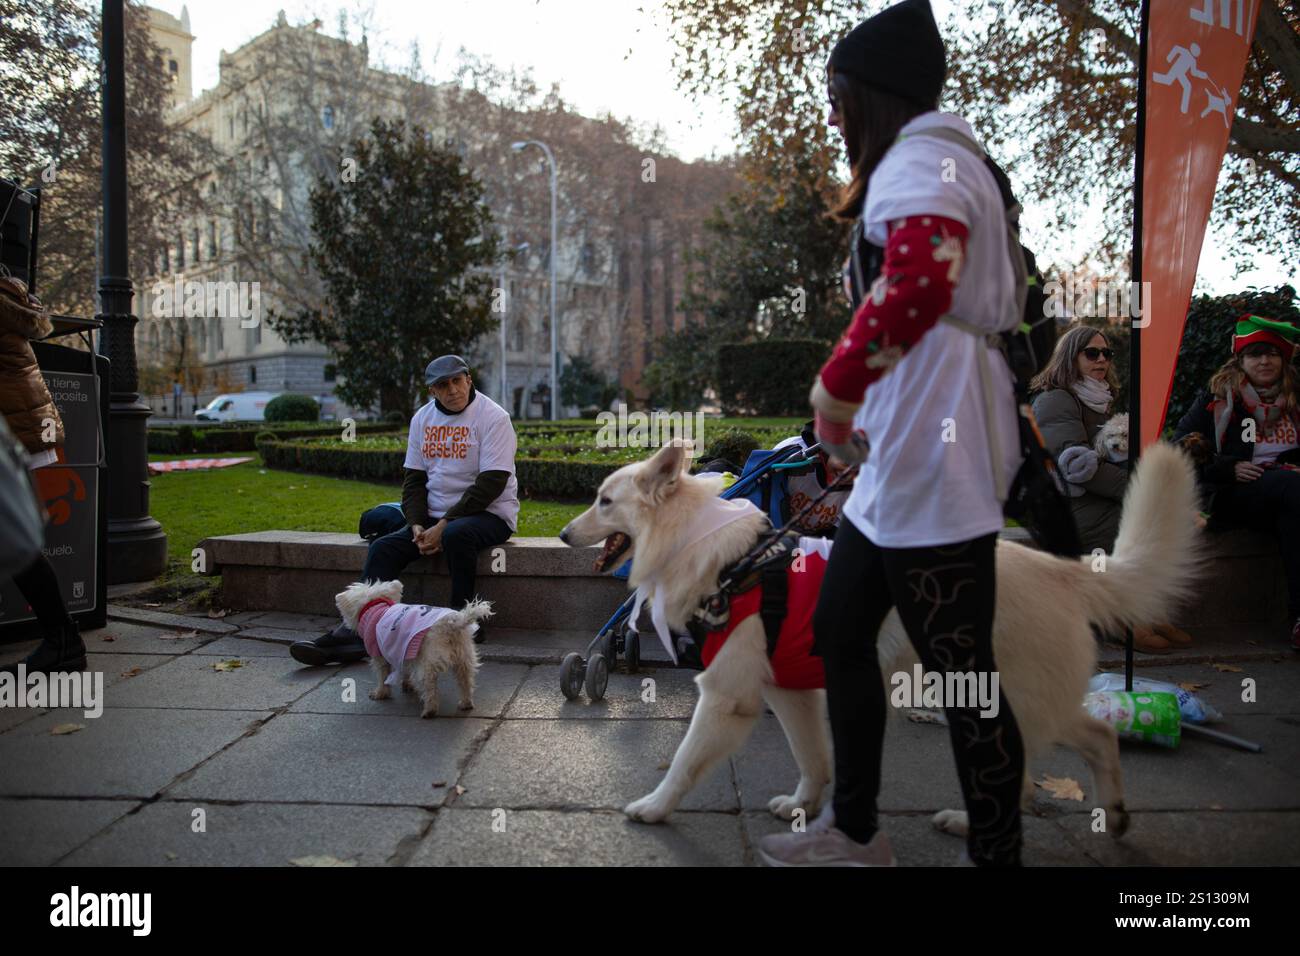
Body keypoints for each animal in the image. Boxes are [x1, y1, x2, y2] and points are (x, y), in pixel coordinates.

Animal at [335, 580, 491, 723]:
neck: (375, 606)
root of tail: (451, 624)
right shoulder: (404, 650)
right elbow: (405, 669)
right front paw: (407, 685)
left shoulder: (380, 655)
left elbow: (383, 675)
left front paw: (380, 693)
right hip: (464, 657)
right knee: (465, 681)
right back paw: (466, 703)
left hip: (427, 663)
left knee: (430, 687)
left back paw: (429, 710)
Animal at [553, 437, 1201, 842]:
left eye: (604, 501)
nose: (559, 534)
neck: (725, 559)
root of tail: (1061, 570)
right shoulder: (790, 694)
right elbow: (813, 759)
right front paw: (804, 808)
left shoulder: (725, 698)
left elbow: (685, 763)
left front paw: (655, 807)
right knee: (1097, 737)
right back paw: (1112, 813)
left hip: (993, 700)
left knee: (1028, 772)